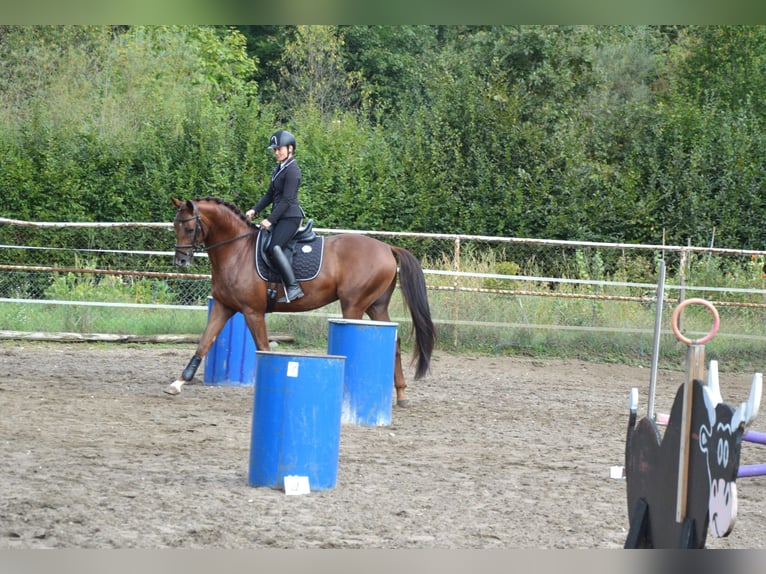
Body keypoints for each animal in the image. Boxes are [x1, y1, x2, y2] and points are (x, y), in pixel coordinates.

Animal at [164, 197, 436, 404]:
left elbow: (263, 347)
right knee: (395, 342)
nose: (180, 261)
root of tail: (387, 248)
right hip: (375, 306)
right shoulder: (223, 307)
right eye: (175, 226)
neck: (237, 251)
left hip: (354, 306)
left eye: (189, 228)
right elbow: (204, 342)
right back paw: (401, 394)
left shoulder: (252, 311)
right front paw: (178, 382)